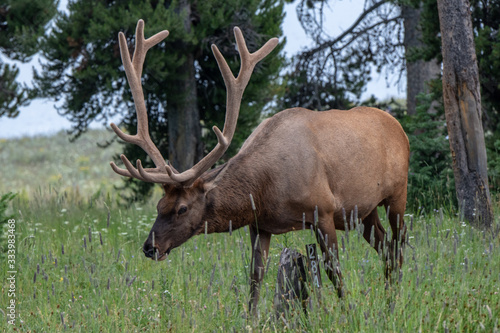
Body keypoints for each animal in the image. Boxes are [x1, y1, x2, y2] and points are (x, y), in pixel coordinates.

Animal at [111, 20, 408, 312]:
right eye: (159, 206)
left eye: (182, 208)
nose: (150, 247)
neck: (266, 189)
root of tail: (399, 127)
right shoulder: (259, 225)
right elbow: (255, 277)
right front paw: (251, 318)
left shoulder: (322, 211)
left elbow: (333, 269)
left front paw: (347, 313)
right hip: (364, 211)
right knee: (384, 246)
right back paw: (389, 298)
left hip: (397, 194)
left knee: (398, 242)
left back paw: (395, 301)